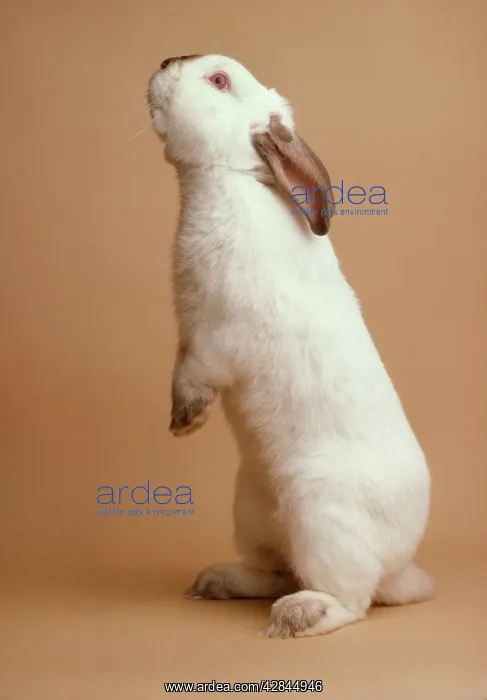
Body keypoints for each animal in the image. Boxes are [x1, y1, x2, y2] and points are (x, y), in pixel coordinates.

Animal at [147, 54, 435, 638]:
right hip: (251, 510)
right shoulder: (190, 333)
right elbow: (179, 365)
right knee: (277, 569)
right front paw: (181, 421)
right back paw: (216, 582)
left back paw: (298, 616)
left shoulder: (216, 336)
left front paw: (186, 421)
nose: (164, 63)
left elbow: (194, 373)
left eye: (218, 80)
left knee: (351, 600)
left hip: (320, 517)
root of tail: (399, 564)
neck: (228, 179)